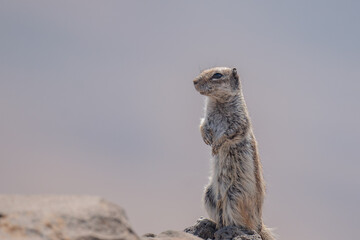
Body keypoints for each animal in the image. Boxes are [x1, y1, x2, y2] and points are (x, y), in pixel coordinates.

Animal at [194, 66, 276, 240]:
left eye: (217, 75)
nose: (194, 81)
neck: (217, 102)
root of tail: (260, 223)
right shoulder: (206, 119)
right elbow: (202, 126)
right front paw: (207, 140)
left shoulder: (239, 122)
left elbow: (229, 133)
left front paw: (216, 146)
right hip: (209, 194)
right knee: (219, 219)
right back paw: (206, 221)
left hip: (234, 197)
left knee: (244, 224)